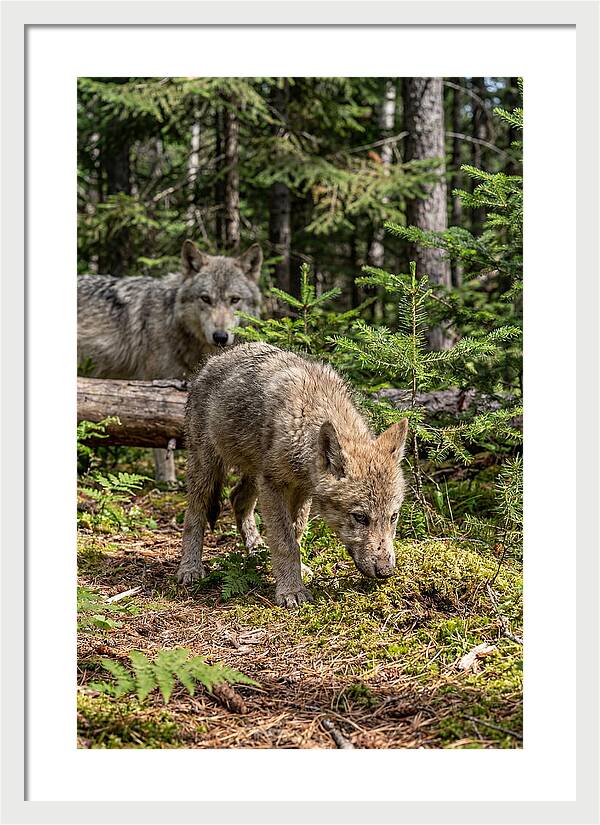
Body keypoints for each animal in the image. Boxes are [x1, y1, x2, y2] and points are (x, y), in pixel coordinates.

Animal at [77, 240, 263, 481]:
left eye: (235, 300)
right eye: (206, 298)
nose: (220, 337)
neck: (173, 321)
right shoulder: (155, 389)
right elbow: (161, 443)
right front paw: (167, 481)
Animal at [177, 342, 409, 607]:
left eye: (393, 517)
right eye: (360, 517)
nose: (385, 571)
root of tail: (213, 360)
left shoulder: (302, 491)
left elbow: (296, 534)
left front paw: (296, 572)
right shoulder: (274, 486)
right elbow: (285, 542)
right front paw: (291, 591)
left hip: (255, 475)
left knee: (237, 498)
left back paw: (256, 550)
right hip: (208, 469)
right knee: (194, 513)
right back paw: (190, 568)